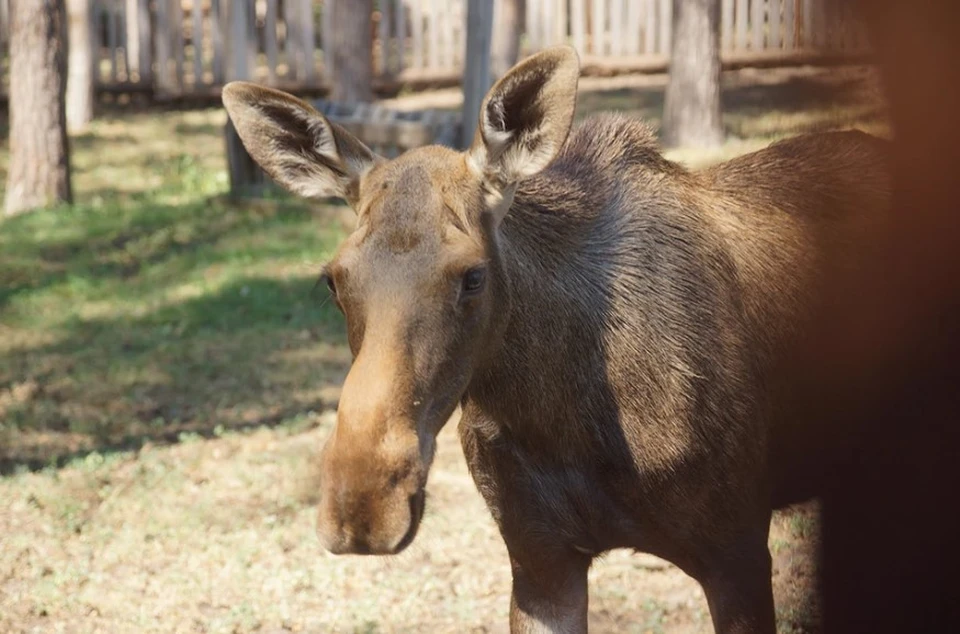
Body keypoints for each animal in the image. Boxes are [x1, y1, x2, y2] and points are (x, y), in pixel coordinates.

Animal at [223, 45, 892, 632]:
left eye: (472, 275)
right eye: (333, 280)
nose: (362, 502)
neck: (565, 417)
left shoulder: (738, 549)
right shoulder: (540, 560)